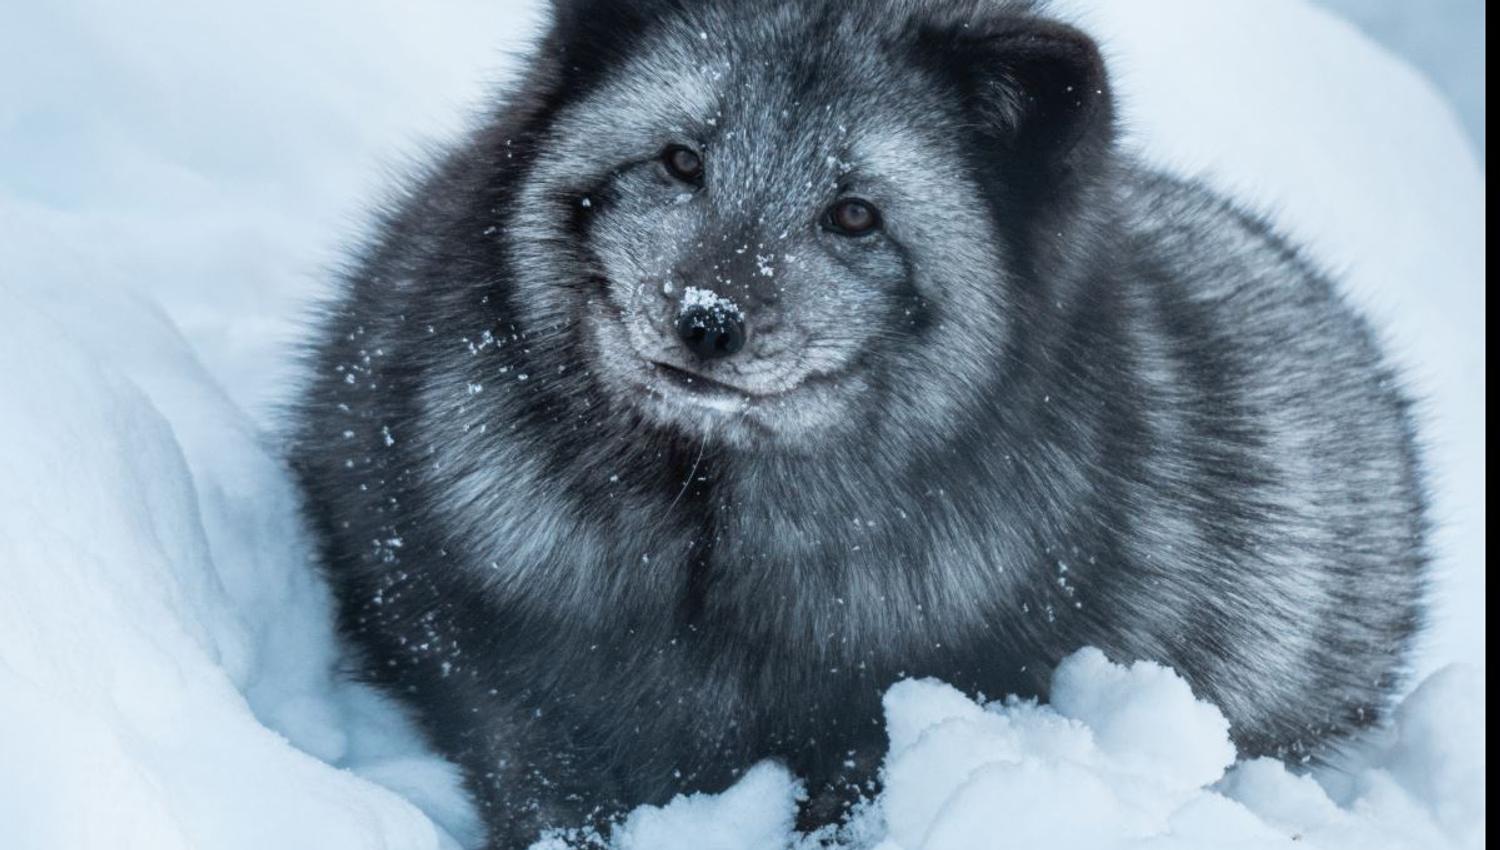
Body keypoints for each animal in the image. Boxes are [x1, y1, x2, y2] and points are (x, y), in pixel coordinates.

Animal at [290, 0, 1428, 845]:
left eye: (853, 216)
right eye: (681, 161)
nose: (707, 320)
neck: (702, 549)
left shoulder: (919, 703)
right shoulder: (473, 645)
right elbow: (536, 764)